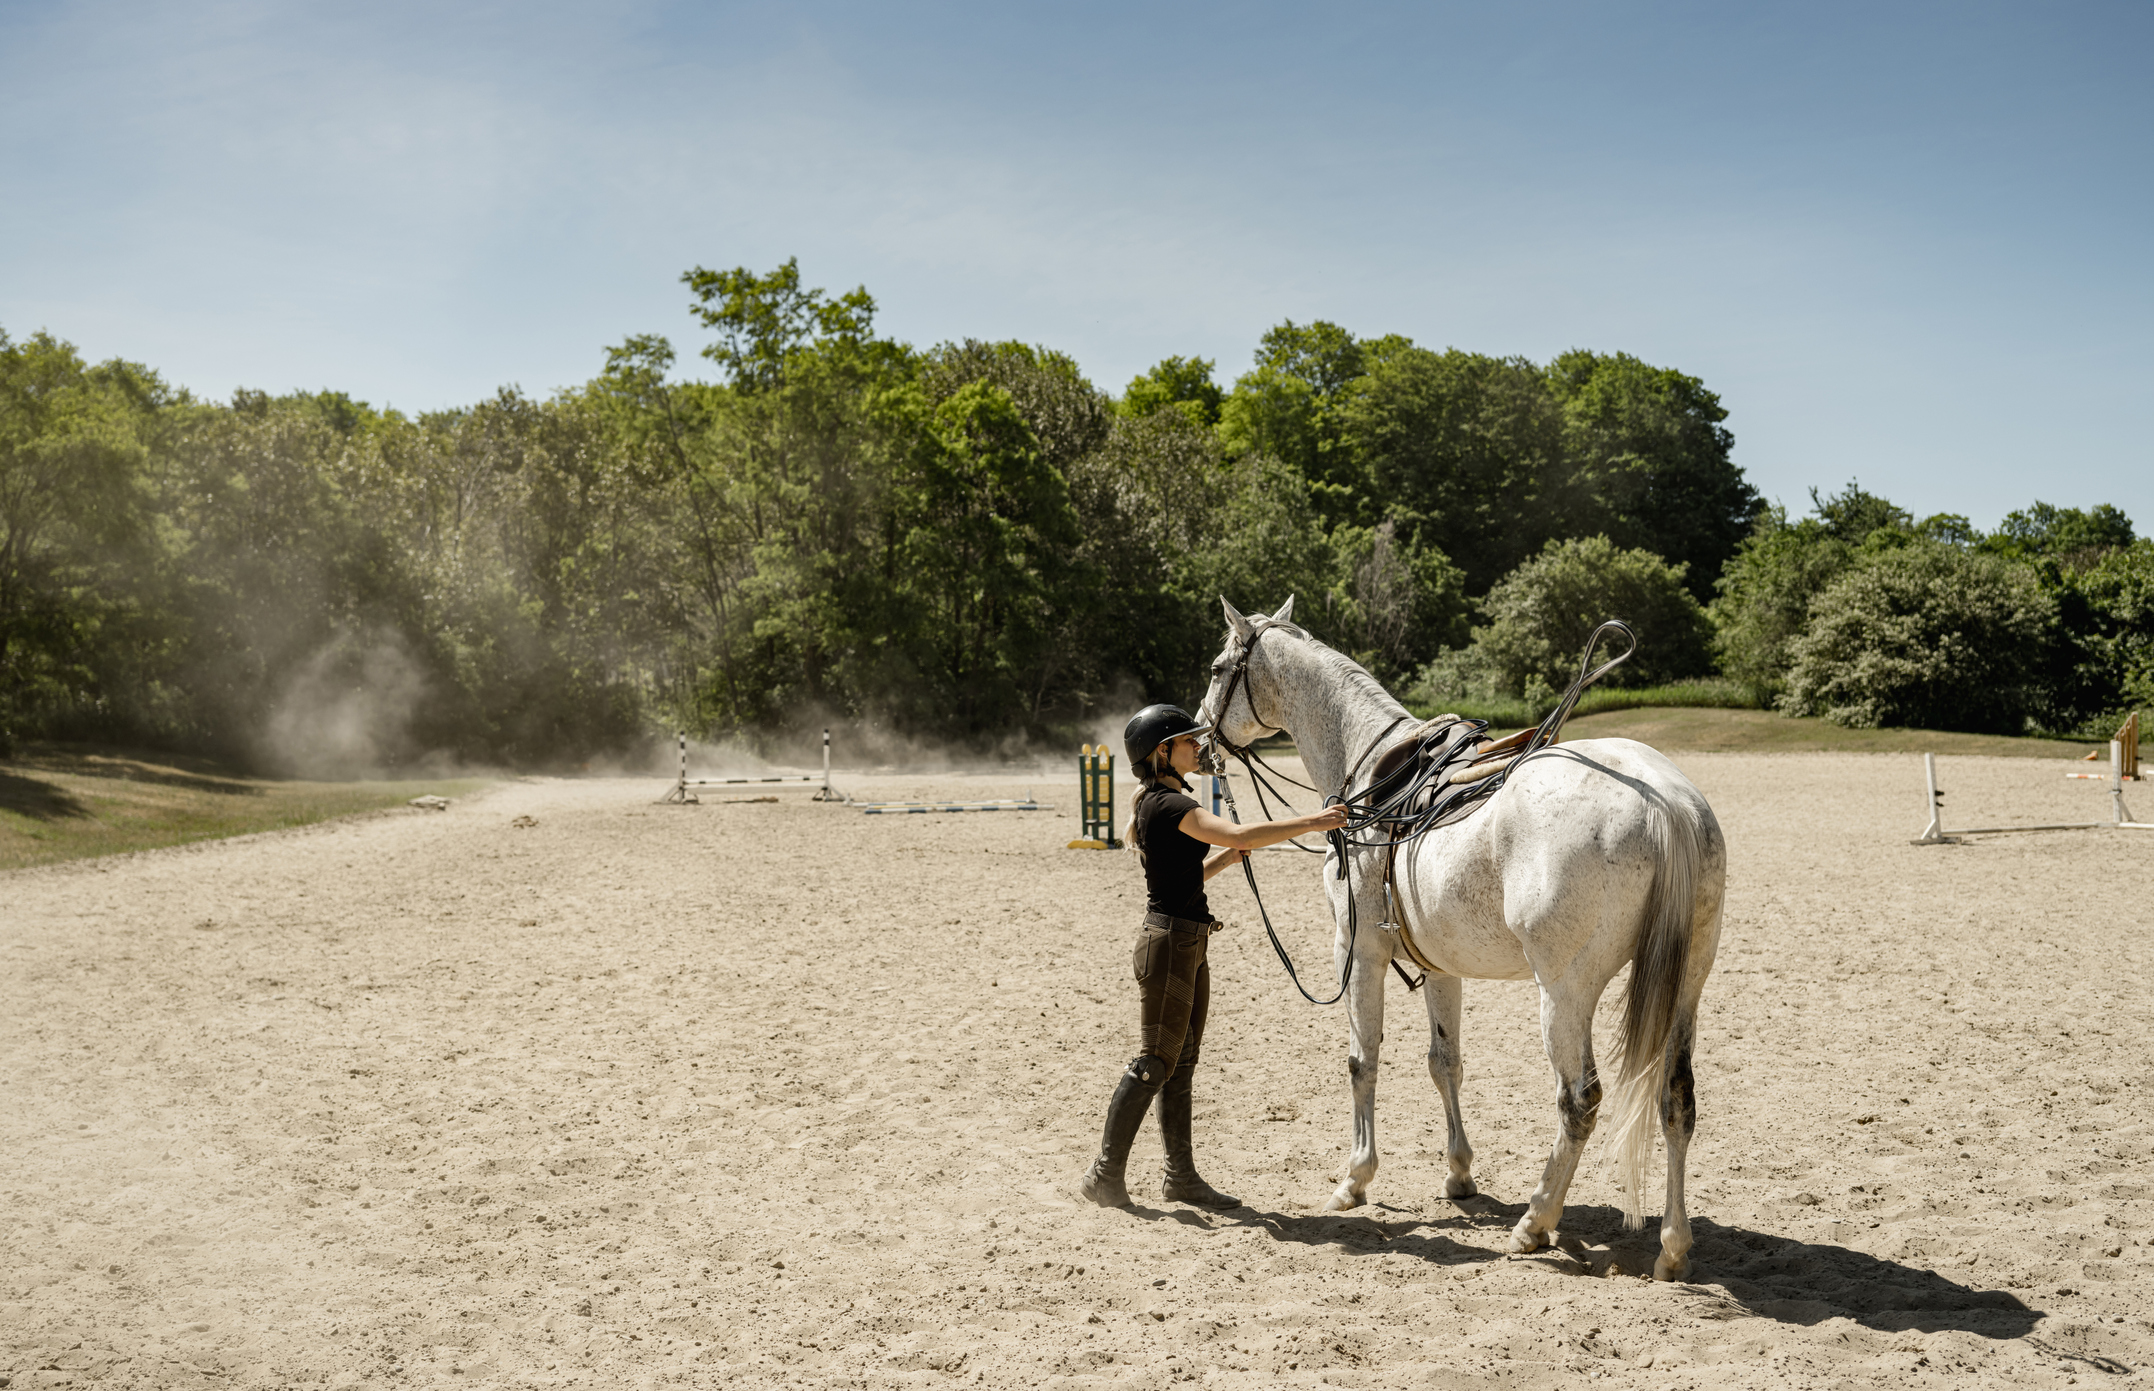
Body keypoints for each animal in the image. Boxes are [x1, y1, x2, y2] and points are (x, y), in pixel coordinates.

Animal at [1206, 594, 1723, 1283]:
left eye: (1217, 668)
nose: (1198, 731)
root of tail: (1667, 802)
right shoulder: (1440, 966)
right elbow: (1443, 1062)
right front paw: (1458, 1174)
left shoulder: (1360, 954)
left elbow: (1361, 1060)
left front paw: (1355, 1178)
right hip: (1686, 985)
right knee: (1676, 1100)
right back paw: (1672, 1246)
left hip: (1564, 993)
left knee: (1579, 1101)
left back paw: (1536, 1222)